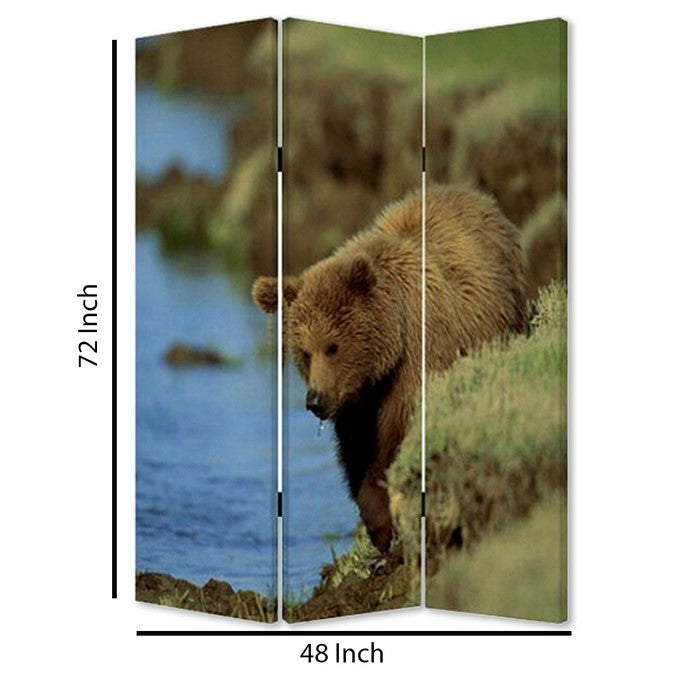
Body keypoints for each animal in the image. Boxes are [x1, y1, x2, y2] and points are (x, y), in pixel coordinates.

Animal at [252, 184, 526, 554]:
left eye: (332, 347)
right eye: (304, 353)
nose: (315, 401)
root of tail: (476, 196)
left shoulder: (416, 364)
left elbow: (396, 439)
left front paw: (388, 523)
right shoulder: (355, 404)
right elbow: (357, 454)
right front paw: (379, 525)